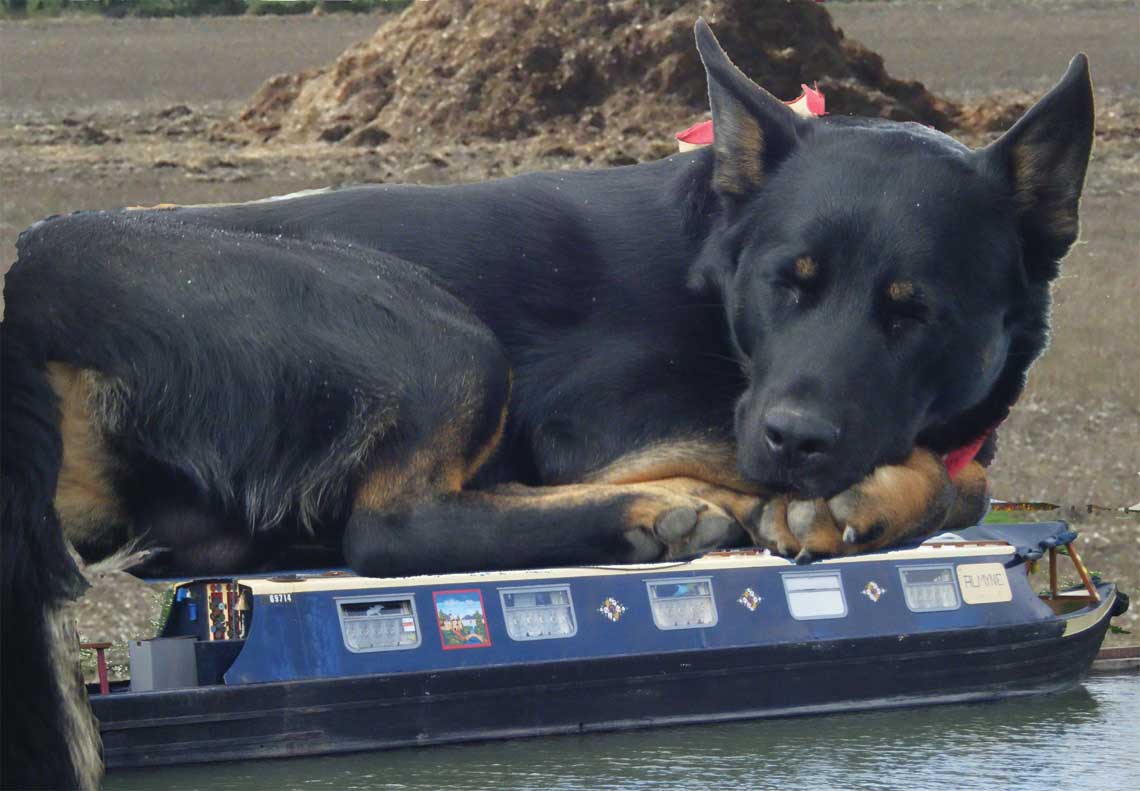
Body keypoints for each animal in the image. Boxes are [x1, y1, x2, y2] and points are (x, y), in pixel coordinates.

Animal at [2, 21, 1094, 788]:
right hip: (431, 325)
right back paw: (665, 514)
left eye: (916, 312)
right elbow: (934, 471)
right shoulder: (602, 416)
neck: (716, 259)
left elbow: (962, 473)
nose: (794, 440)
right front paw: (838, 501)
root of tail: (32, 282)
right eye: (790, 281)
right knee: (392, 526)